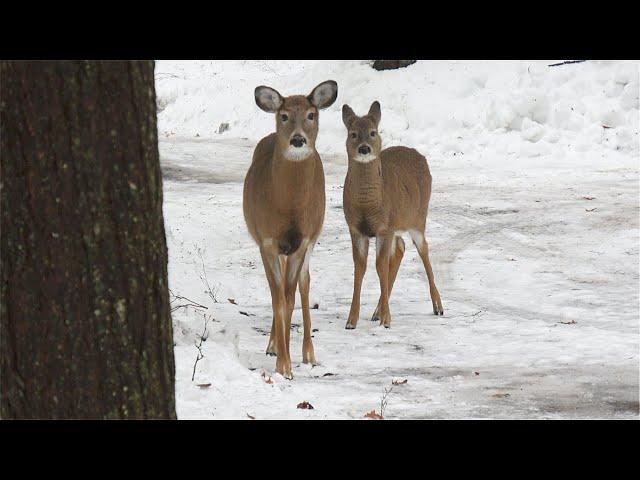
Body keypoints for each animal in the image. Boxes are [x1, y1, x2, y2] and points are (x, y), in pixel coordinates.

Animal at [242, 79, 338, 378]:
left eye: (311, 114)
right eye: (283, 116)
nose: (298, 139)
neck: (288, 208)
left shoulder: (302, 241)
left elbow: (289, 296)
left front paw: (287, 362)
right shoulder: (267, 241)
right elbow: (278, 300)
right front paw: (282, 363)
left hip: (312, 240)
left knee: (303, 286)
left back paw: (308, 352)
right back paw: (273, 345)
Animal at [342, 99, 442, 328]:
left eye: (373, 132)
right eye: (353, 133)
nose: (364, 148)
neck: (367, 204)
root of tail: (420, 156)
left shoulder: (383, 227)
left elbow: (380, 267)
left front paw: (387, 321)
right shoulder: (356, 229)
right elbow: (359, 268)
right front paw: (351, 320)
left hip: (418, 219)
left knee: (423, 249)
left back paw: (438, 306)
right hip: (398, 225)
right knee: (401, 248)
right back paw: (376, 311)